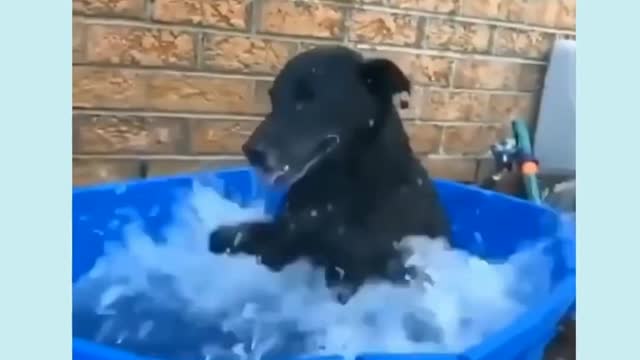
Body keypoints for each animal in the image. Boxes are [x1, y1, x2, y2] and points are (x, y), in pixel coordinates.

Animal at [209, 45, 450, 300]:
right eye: (273, 98)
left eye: (310, 98)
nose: (251, 151)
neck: (332, 187)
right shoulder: (288, 232)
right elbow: (242, 235)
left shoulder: (350, 266)